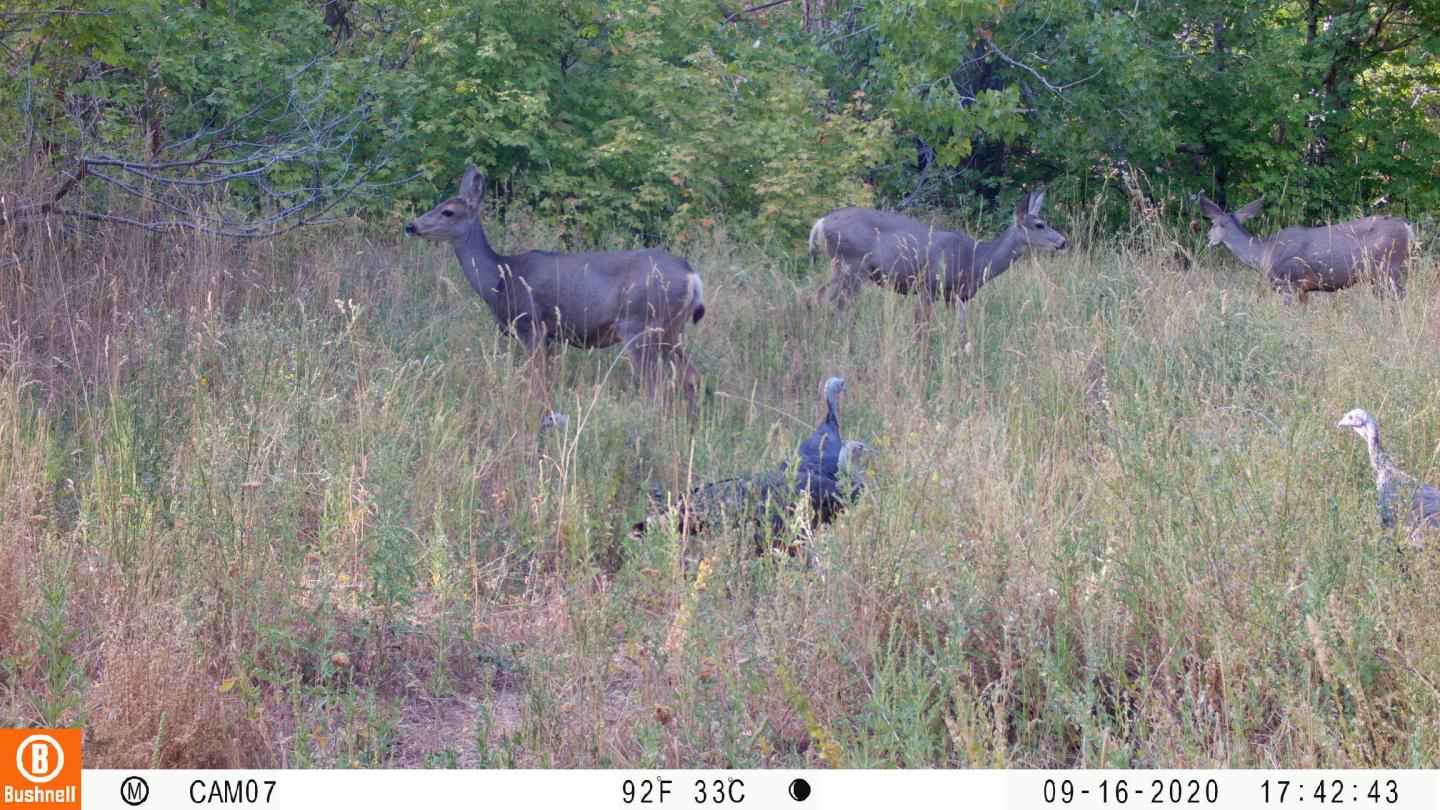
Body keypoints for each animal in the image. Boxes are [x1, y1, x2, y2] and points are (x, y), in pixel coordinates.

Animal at [406, 165, 706, 415]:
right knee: (692, 376)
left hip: (640, 324)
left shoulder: (531, 325)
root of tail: (692, 276)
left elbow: (535, 384)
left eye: (448, 211)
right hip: (670, 330)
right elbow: (545, 384)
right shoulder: (549, 337)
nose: (411, 226)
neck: (499, 278)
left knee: (655, 392)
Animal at [809, 188, 1069, 326]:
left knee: (814, 298)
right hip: (852, 267)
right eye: (1039, 224)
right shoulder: (930, 284)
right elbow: (920, 327)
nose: (1063, 242)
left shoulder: (958, 296)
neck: (976, 260)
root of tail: (820, 223)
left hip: (839, 268)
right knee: (840, 309)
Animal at [1195, 193, 1415, 301]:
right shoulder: (1303, 289)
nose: (1207, 237)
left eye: (1214, 224)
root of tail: (1407, 227)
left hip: (1387, 266)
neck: (1264, 253)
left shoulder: (1290, 282)